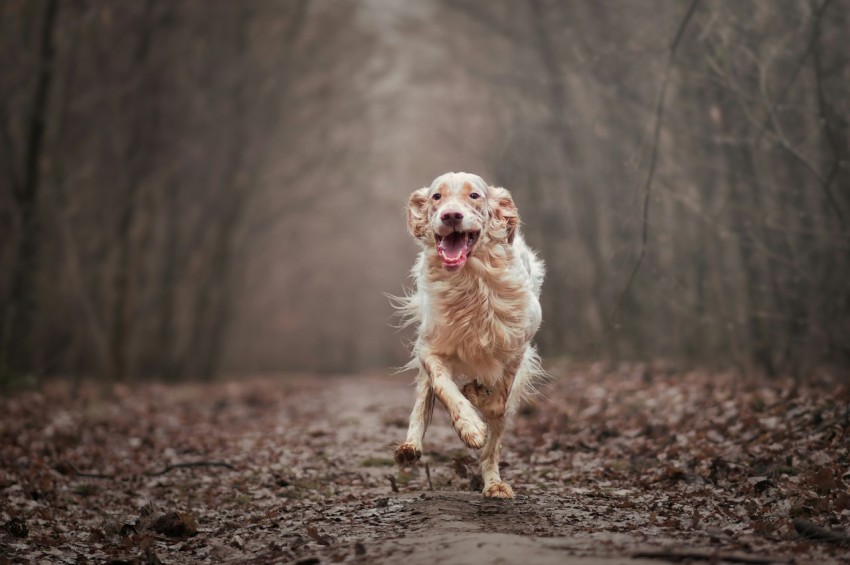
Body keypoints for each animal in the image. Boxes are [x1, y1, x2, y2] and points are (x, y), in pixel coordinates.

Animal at [390, 172, 544, 498]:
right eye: (436, 197)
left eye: (475, 195)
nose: (451, 215)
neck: (470, 281)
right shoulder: (429, 347)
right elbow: (443, 387)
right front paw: (470, 426)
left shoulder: (517, 347)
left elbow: (497, 405)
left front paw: (480, 402)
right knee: (424, 396)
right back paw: (411, 445)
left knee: (495, 438)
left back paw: (494, 483)